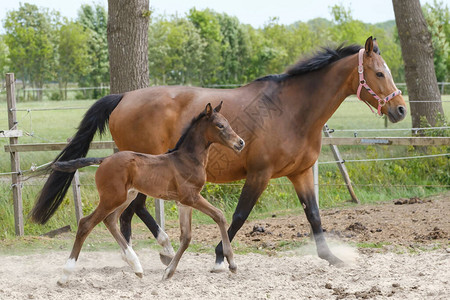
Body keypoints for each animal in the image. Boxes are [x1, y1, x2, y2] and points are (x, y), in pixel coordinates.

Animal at [53, 103, 246, 284]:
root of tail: (104, 159)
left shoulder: (183, 203)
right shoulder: (191, 197)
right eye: (220, 125)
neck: (187, 159)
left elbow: (186, 237)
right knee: (86, 224)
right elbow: (219, 216)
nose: (240, 143)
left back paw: (136, 266)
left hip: (126, 197)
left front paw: (168, 272)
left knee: (110, 220)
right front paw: (232, 263)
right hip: (111, 198)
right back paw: (64, 275)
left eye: (228, 123)